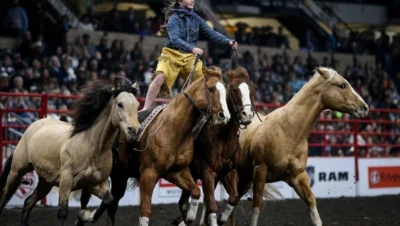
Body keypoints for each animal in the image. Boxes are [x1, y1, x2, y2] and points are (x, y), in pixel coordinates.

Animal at [0, 77, 142, 225]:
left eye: (137, 105)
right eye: (120, 104)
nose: (135, 131)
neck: (91, 147)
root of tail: (33, 126)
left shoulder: (97, 183)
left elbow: (109, 199)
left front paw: (85, 215)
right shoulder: (66, 181)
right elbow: (62, 213)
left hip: (46, 181)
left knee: (28, 202)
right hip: (17, 171)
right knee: (5, 196)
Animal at [77, 65, 231, 226]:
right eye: (211, 88)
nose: (224, 115)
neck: (174, 130)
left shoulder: (177, 172)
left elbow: (195, 192)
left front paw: (186, 217)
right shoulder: (148, 173)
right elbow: (145, 211)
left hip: (121, 175)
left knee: (112, 202)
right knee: (89, 200)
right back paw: (84, 215)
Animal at [227, 67, 370, 226]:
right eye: (342, 85)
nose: (365, 107)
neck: (288, 131)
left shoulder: (297, 176)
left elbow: (311, 201)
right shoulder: (260, 170)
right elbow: (257, 205)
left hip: (245, 178)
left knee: (233, 201)